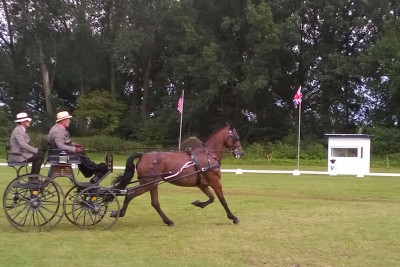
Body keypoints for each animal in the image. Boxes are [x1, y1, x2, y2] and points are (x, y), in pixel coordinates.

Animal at [112, 123, 244, 226]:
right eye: (236, 137)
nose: (241, 153)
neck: (209, 155)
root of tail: (143, 155)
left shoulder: (202, 184)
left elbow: (211, 198)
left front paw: (198, 203)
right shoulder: (215, 182)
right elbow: (222, 200)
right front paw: (234, 218)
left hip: (152, 184)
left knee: (154, 203)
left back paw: (168, 221)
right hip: (147, 183)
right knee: (130, 194)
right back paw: (119, 213)